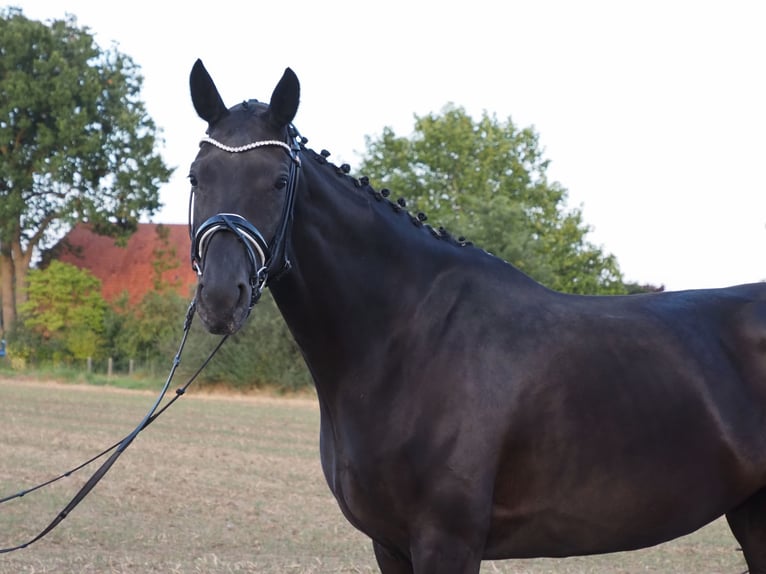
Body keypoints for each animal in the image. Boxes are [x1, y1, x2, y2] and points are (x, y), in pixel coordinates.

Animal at [186, 60, 766, 572]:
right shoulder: (389, 546)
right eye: (196, 176)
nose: (221, 296)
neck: (406, 339)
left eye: (279, 181)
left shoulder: (448, 542)